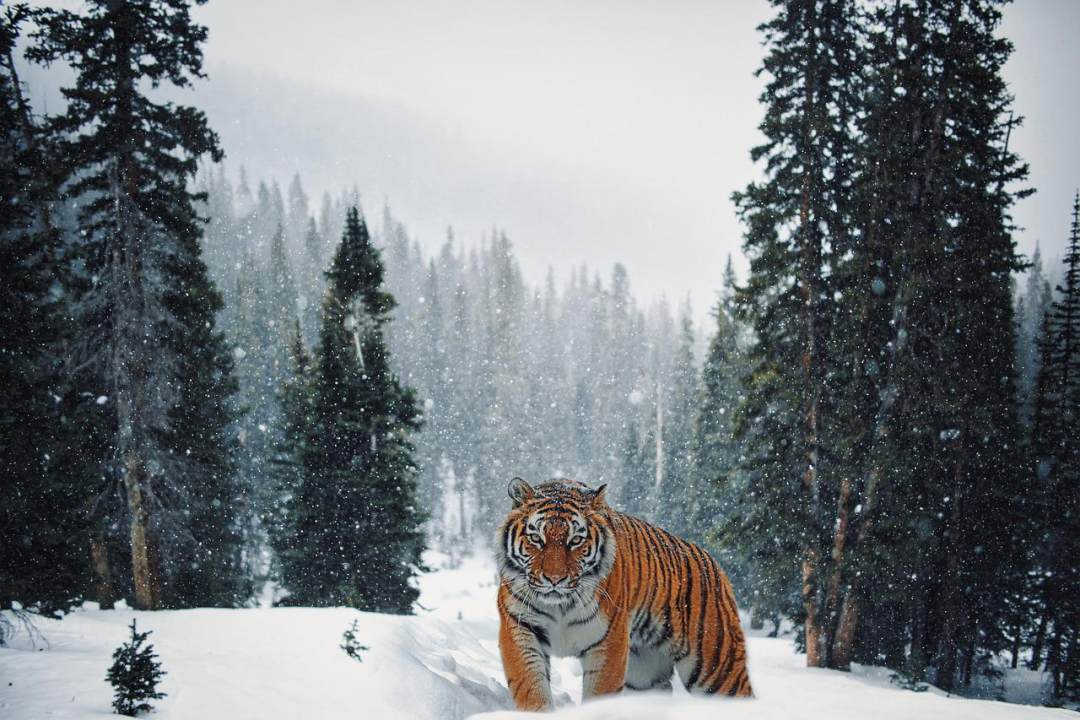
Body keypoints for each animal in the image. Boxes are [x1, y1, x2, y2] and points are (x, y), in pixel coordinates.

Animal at [495, 477, 752, 711]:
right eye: (536, 538)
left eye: (576, 540)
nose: (555, 579)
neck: (560, 605)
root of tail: (714, 563)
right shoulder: (520, 629)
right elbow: (531, 686)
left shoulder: (608, 642)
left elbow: (600, 693)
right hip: (644, 673)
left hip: (717, 666)